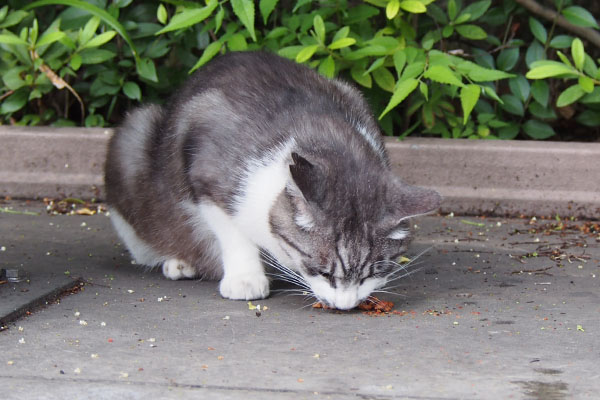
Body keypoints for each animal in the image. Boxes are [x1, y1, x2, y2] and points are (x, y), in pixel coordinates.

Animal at [104, 50, 440, 310]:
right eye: (322, 271)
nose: (345, 306)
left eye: (372, 273)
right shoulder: (207, 176)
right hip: (135, 135)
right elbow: (232, 231)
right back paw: (179, 261)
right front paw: (245, 279)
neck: (324, 140)